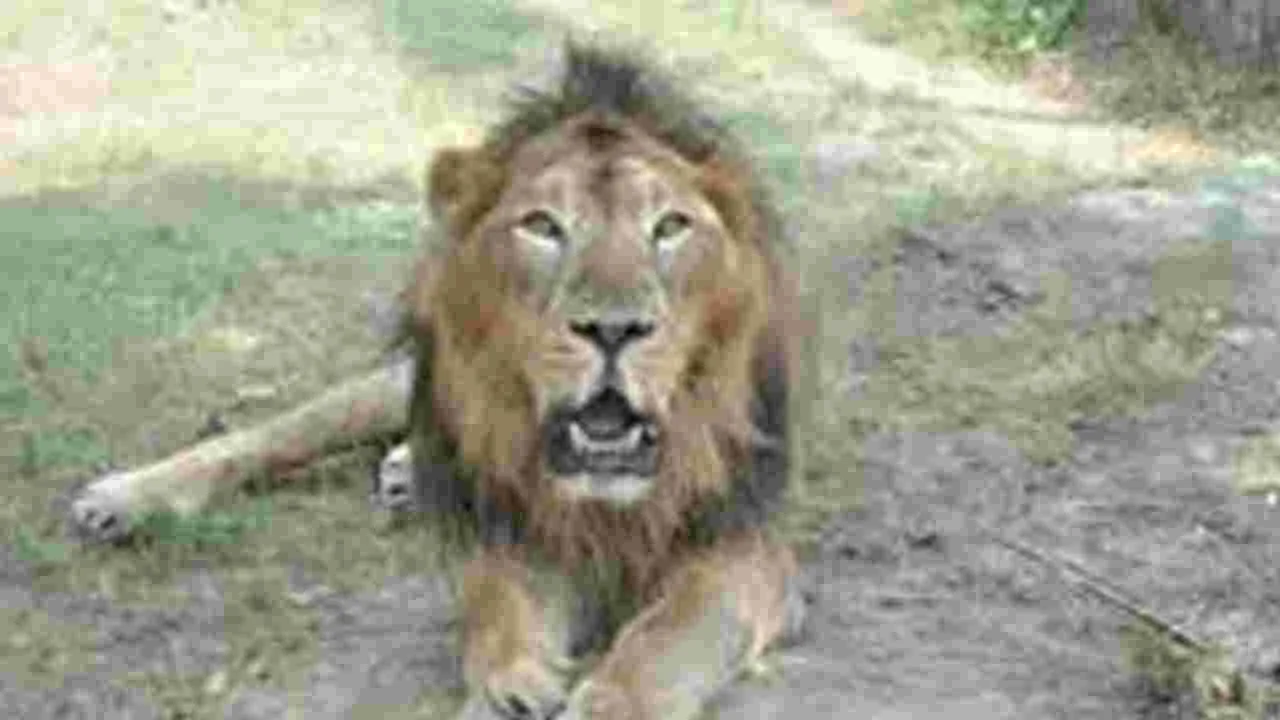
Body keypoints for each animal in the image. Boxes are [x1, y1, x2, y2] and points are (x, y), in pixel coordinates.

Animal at [71, 42, 805, 719]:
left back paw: (402, 473)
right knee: (270, 434)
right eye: (542, 225)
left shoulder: (746, 543)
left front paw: (607, 700)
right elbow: (495, 606)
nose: (613, 329)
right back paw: (125, 496)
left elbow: (666, 637)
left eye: (670, 226)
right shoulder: (507, 527)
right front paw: (507, 690)